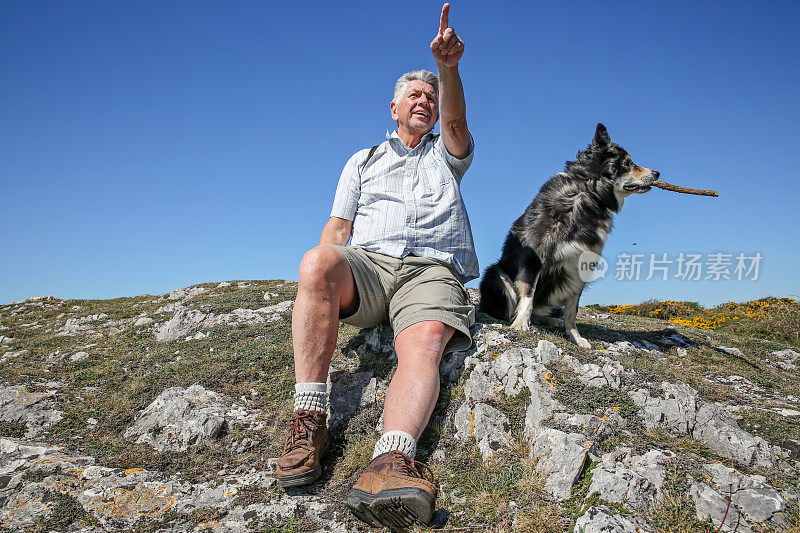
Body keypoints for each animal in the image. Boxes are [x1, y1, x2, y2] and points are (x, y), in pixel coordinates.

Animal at [478, 124, 660, 350]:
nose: (657, 173)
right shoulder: (533, 257)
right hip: (496, 273)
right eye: (628, 163)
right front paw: (520, 323)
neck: (591, 195)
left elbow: (572, 311)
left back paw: (550, 319)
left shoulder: (580, 266)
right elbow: (528, 294)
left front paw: (575, 337)